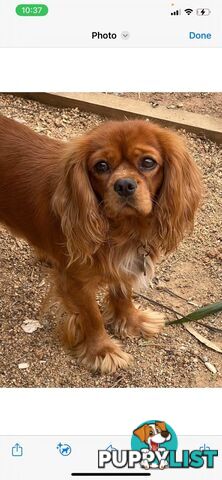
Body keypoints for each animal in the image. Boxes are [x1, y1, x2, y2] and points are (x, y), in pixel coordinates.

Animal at [0, 115, 201, 372]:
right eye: (101, 166)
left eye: (148, 162)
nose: (124, 185)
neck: (123, 230)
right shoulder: (77, 282)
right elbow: (92, 317)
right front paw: (103, 351)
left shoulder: (125, 265)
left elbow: (123, 295)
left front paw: (133, 321)